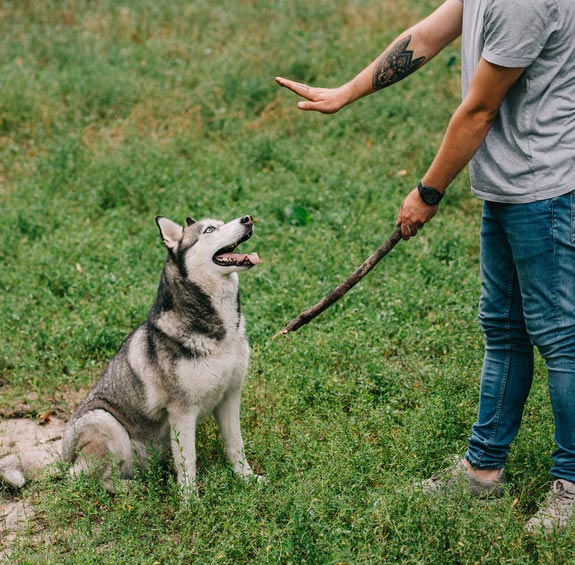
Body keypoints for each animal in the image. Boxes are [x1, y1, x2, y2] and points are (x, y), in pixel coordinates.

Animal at [62, 214, 262, 492]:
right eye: (209, 230)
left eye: (222, 222)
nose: (247, 219)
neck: (219, 331)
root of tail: (62, 457)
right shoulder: (182, 412)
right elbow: (188, 463)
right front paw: (190, 500)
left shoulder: (230, 397)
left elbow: (236, 445)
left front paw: (247, 479)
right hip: (105, 421)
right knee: (91, 479)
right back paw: (132, 489)